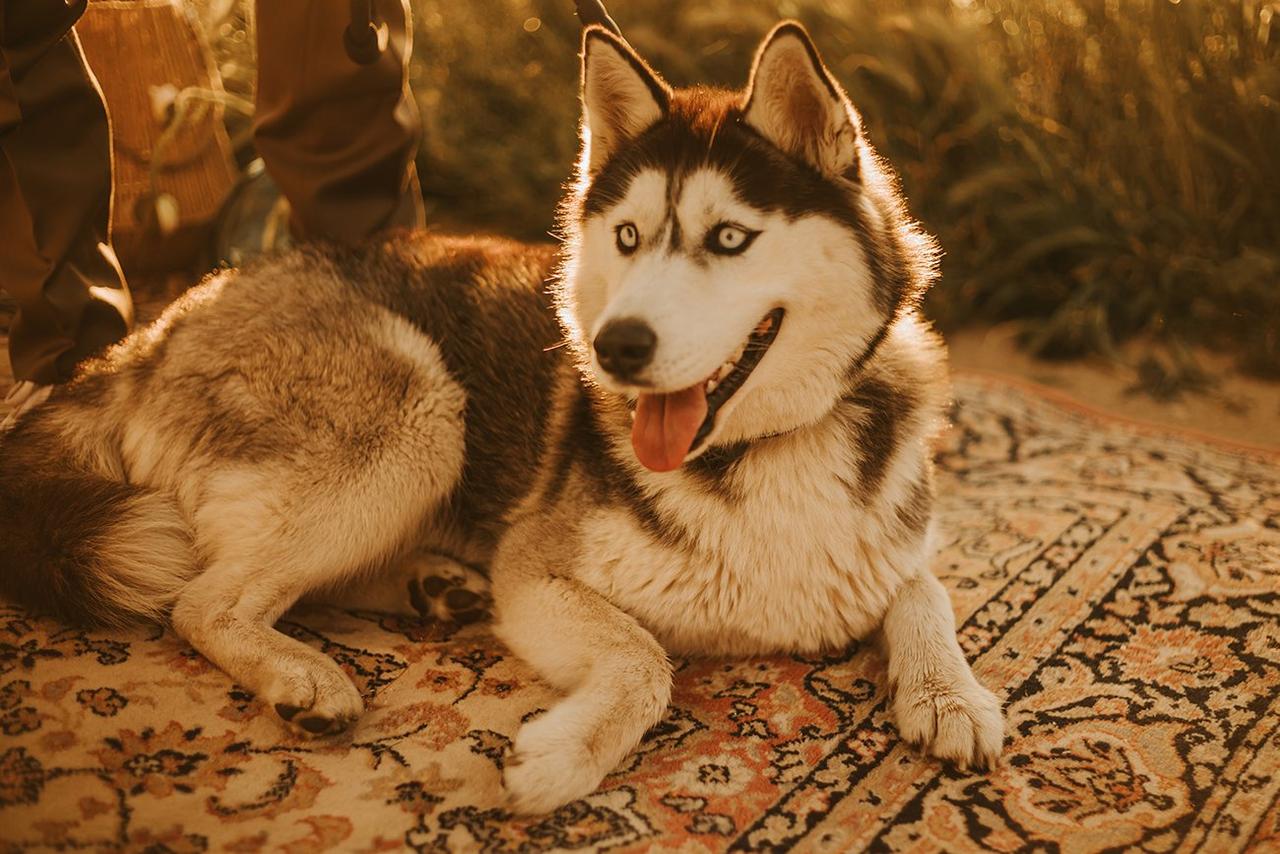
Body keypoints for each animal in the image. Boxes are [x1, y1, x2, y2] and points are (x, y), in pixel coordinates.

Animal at [0, 25, 998, 814]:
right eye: (628, 237)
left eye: (729, 239)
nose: (614, 346)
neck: (764, 449)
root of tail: (162, 325)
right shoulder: (537, 570)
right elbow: (646, 658)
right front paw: (564, 757)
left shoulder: (886, 544)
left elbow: (927, 592)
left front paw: (954, 698)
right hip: (421, 413)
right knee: (202, 597)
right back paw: (303, 669)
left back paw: (432, 588)